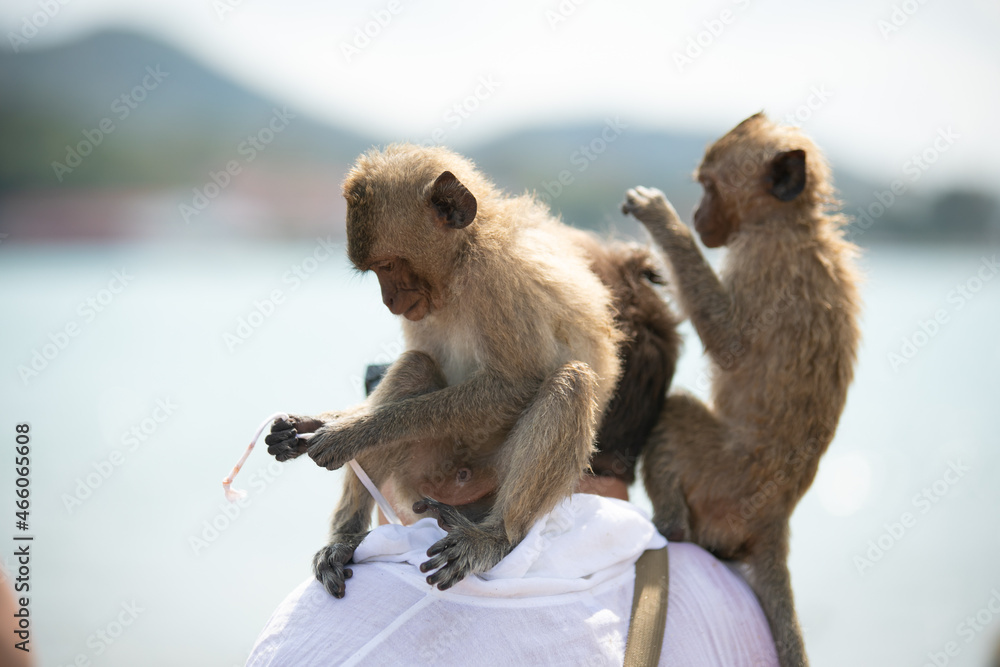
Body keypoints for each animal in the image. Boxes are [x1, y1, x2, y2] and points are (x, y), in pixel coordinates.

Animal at [266, 144, 628, 596]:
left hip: (487, 474)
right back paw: (346, 537)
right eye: (377, 270)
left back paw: (494, 536)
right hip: (423, 475)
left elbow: (515, 384)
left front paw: (354, 432)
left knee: (572, 382)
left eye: (389, 265)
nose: (389, 300)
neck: (461, 262)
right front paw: (315, 423)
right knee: (415, 367)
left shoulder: (498, 279)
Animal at [620, 113, 864, 667]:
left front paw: (661, 220)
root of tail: (777, 518)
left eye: (710, 187)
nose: (696, 214)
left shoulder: (759, 261)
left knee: (676, 413)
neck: (791, 224)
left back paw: (671, 528)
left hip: (719, 481)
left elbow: (730, 345)